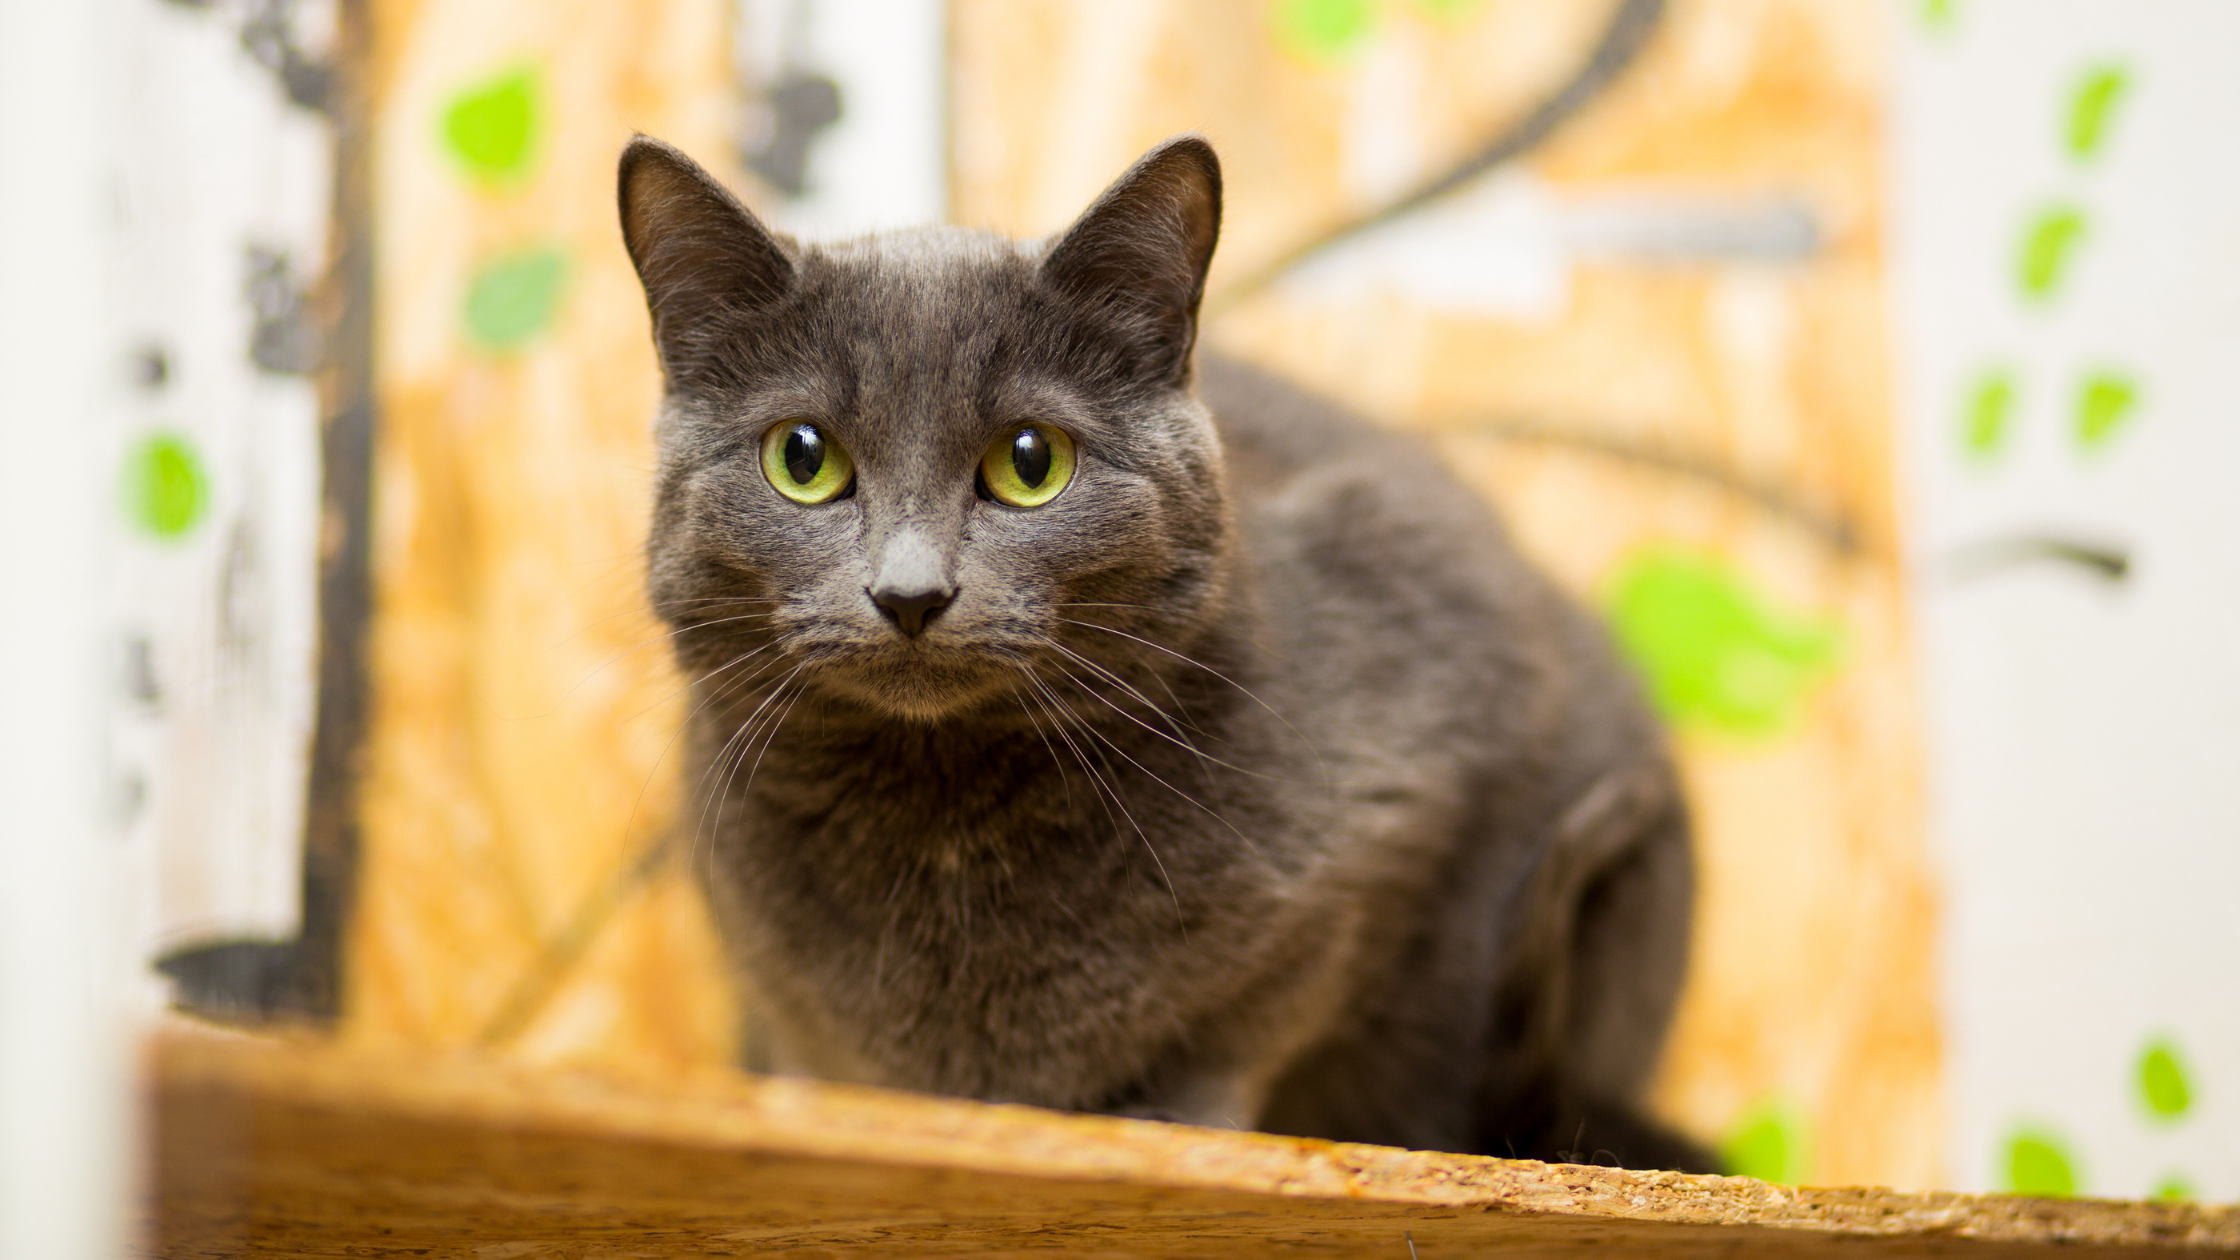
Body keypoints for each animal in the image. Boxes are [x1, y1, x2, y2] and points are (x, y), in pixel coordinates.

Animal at [622, 132, 1702, 1165]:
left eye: (1030, 462)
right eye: (801, 458)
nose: (911, 591)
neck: (942, 826)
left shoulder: (1420, 740)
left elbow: (1259, 1014)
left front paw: (1168, 1118)